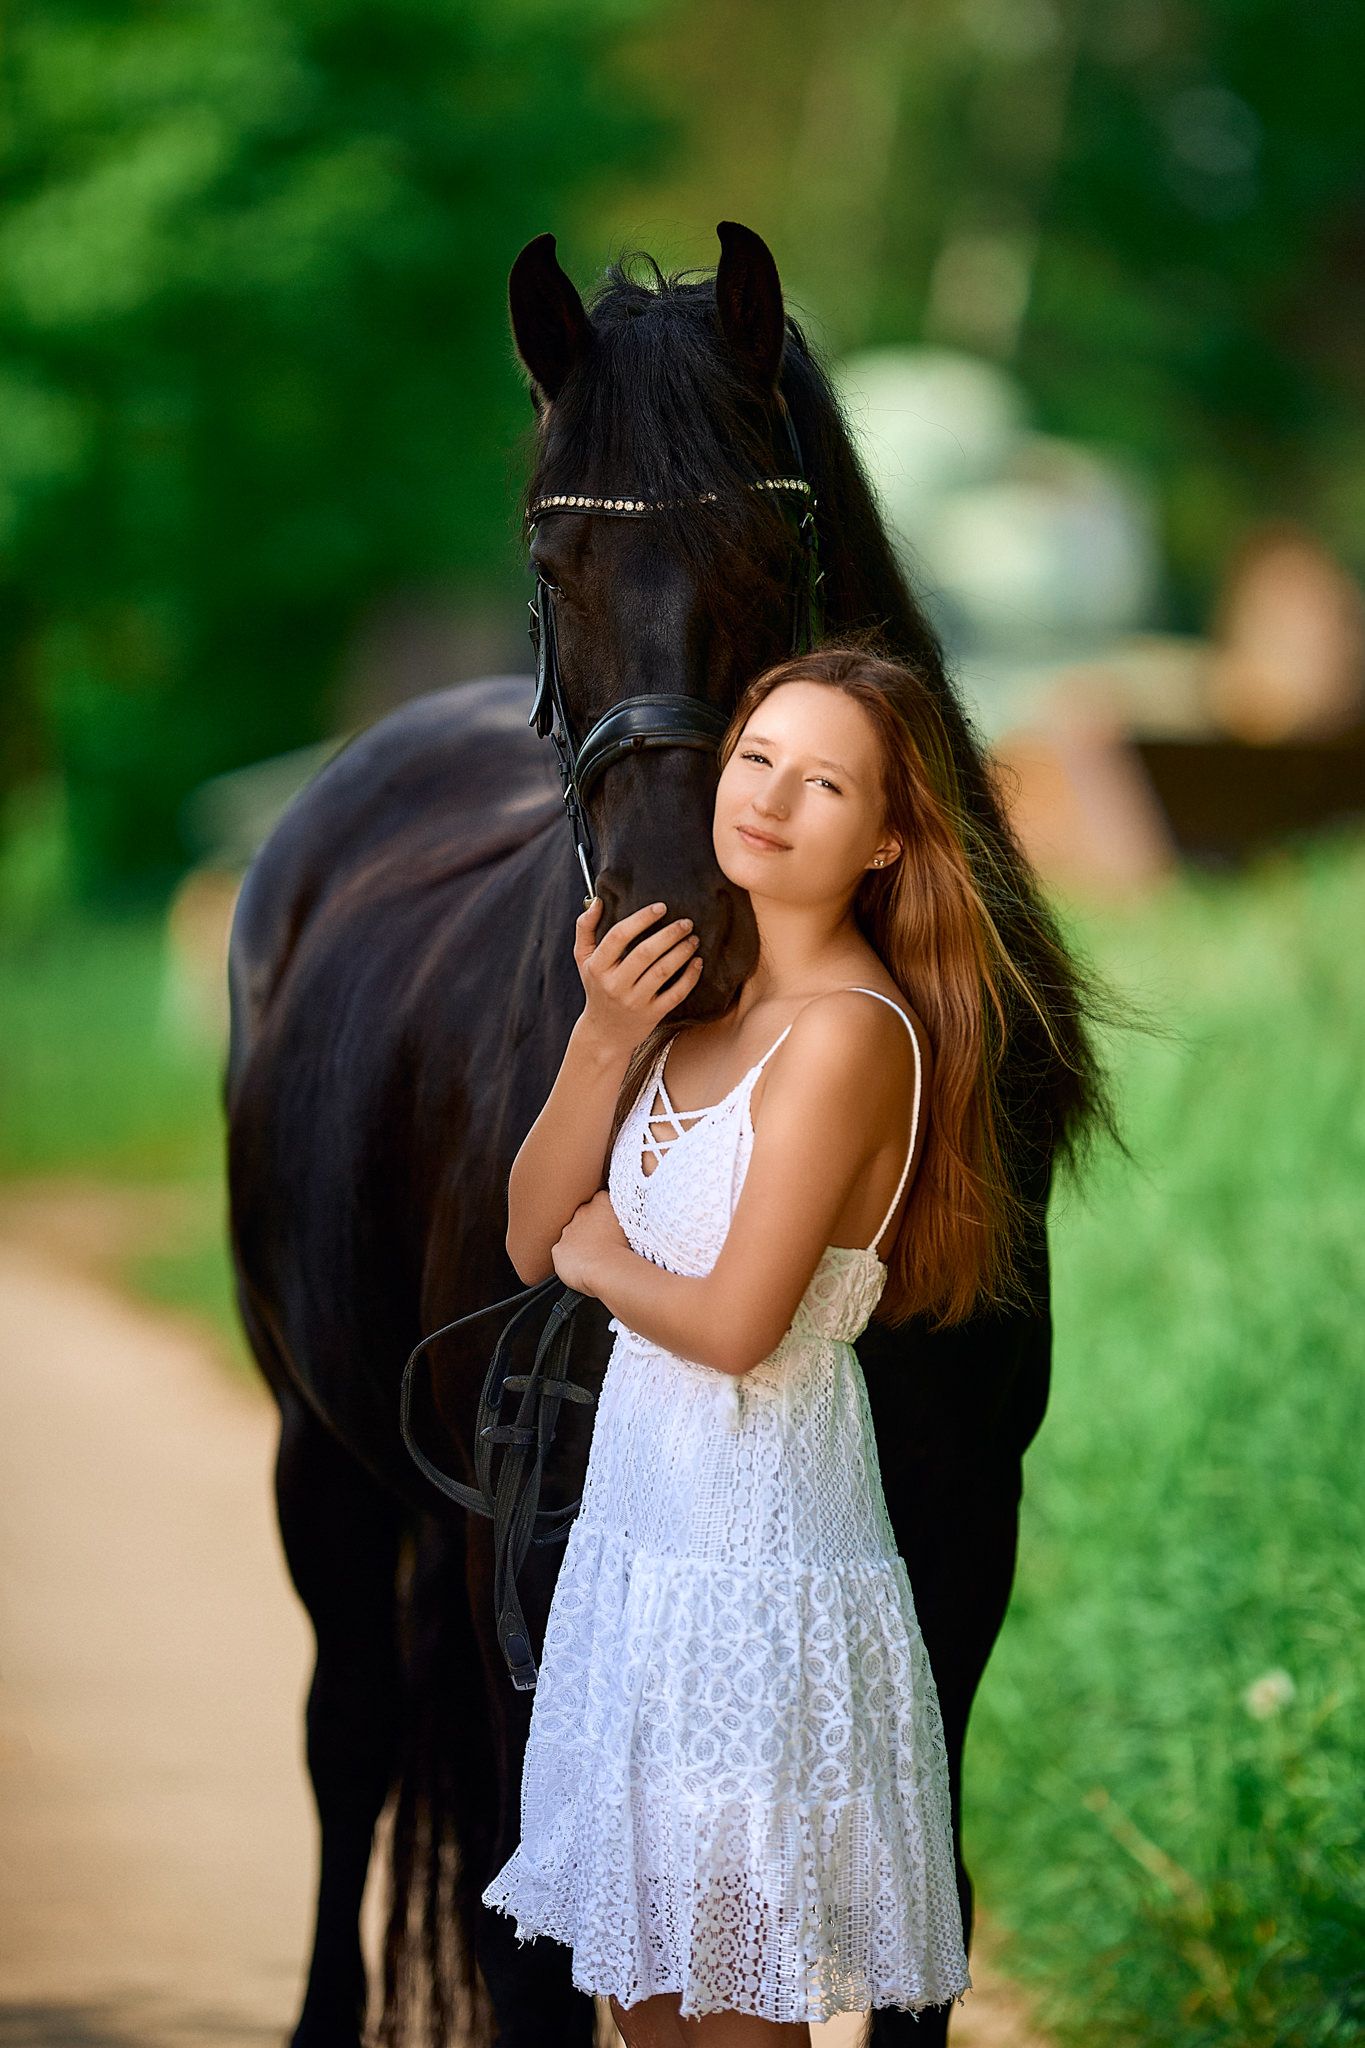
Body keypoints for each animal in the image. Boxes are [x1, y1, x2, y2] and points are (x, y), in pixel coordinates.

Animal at [226, 219, 1105, 2048]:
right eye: (549, 558)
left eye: (779, 541)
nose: (672, 932)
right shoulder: (520, 1553)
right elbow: (538, 1938)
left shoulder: (958, 1542)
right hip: (318, 1458)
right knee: (350, 1749)